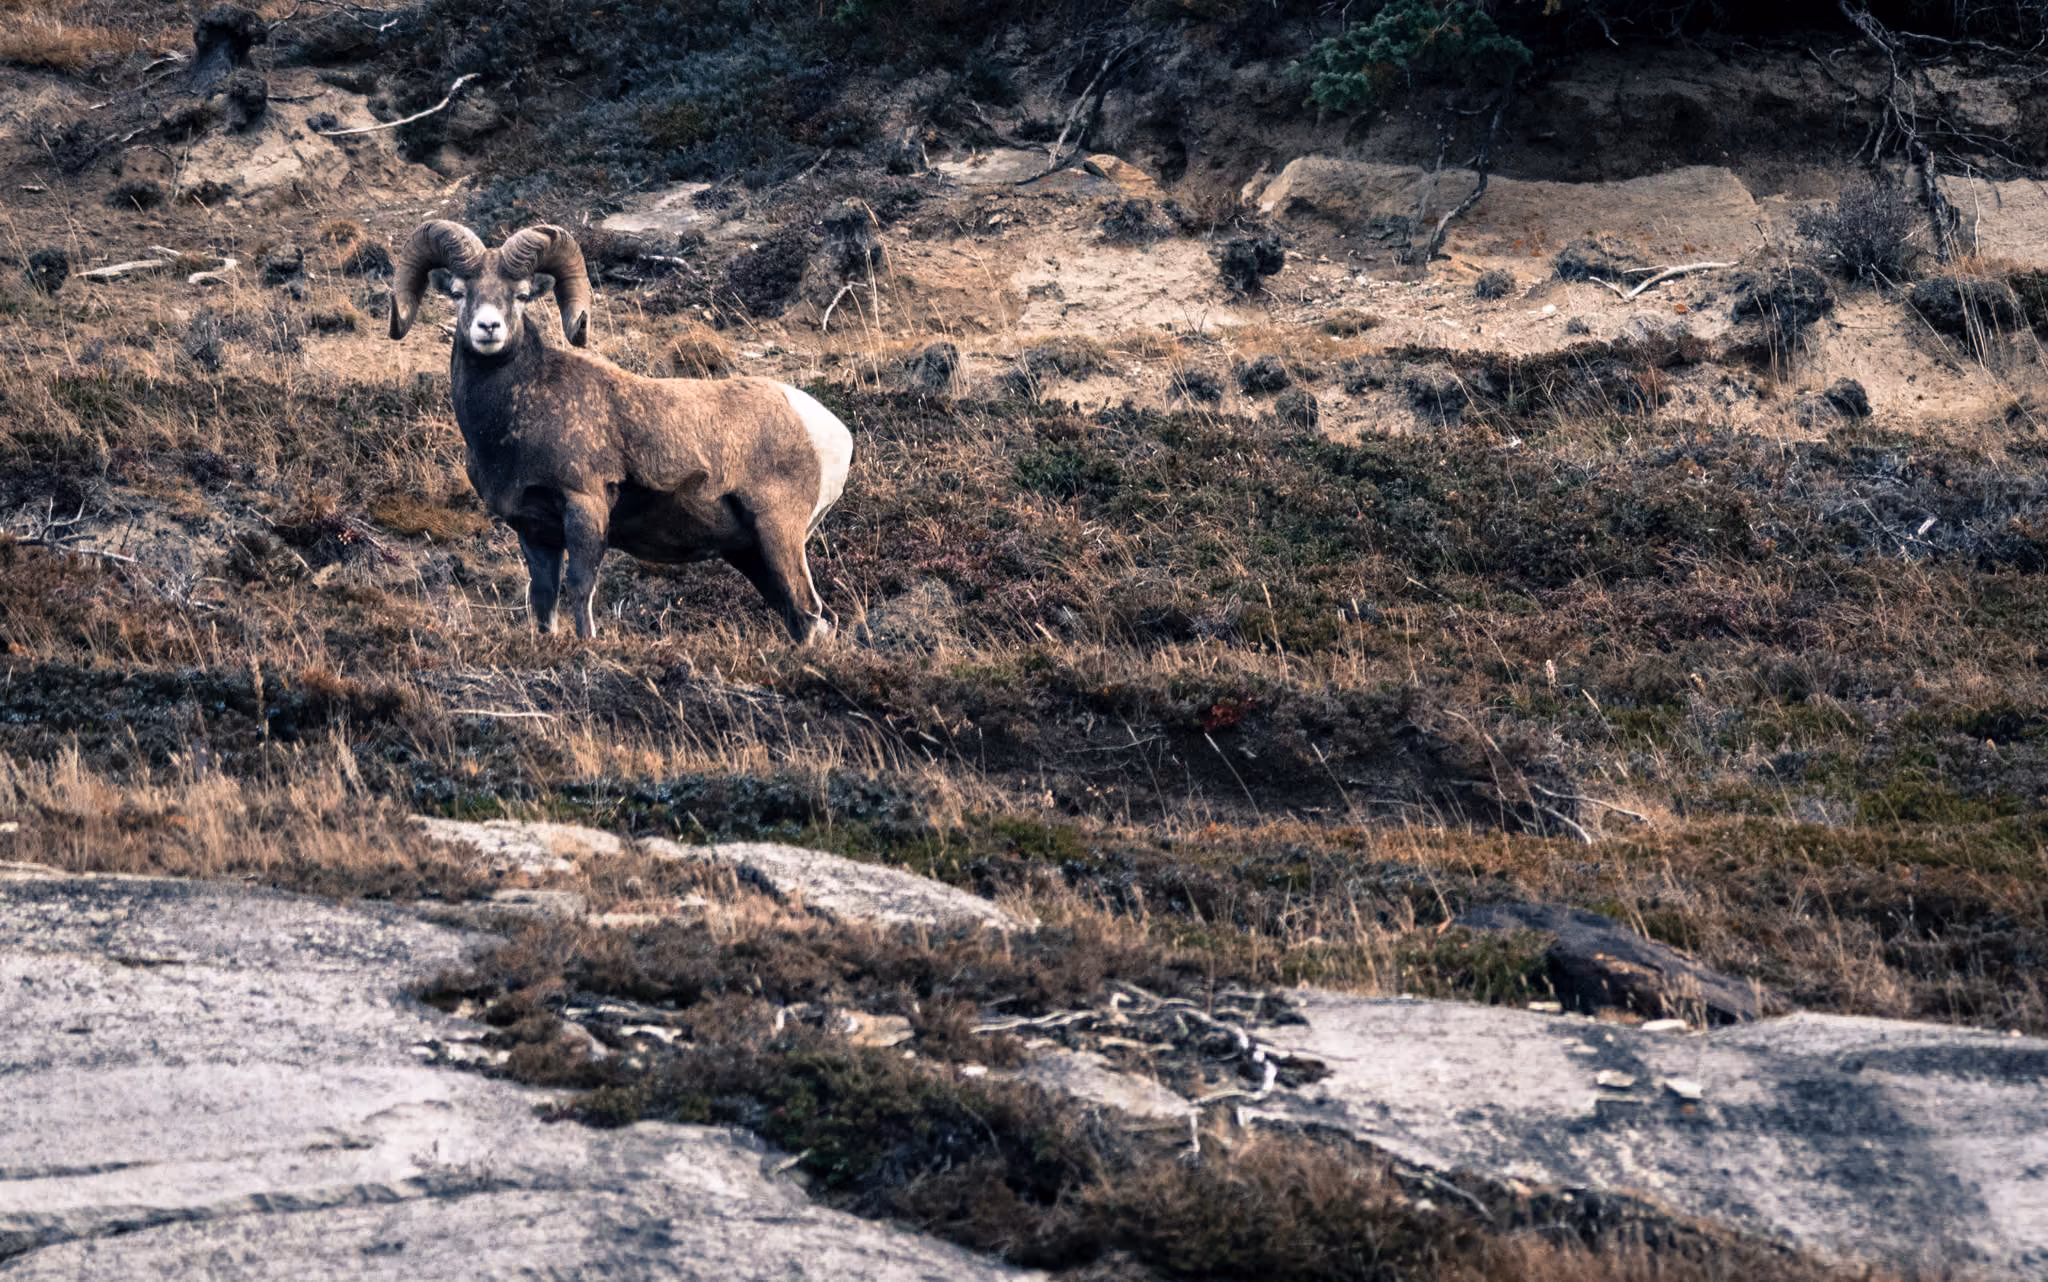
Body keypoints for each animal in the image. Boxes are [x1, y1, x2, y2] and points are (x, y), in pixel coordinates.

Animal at [387, 220, 852, 643]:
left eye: (520, 296)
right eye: (459, 293)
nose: (488, 329)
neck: (515, 418)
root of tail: (832, 432)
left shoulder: (586, 507)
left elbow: (579, 589)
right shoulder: (535, 532)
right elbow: (543, 599)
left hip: (778, 536)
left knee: (810, 614)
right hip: (752, 553)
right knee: (808, 619)